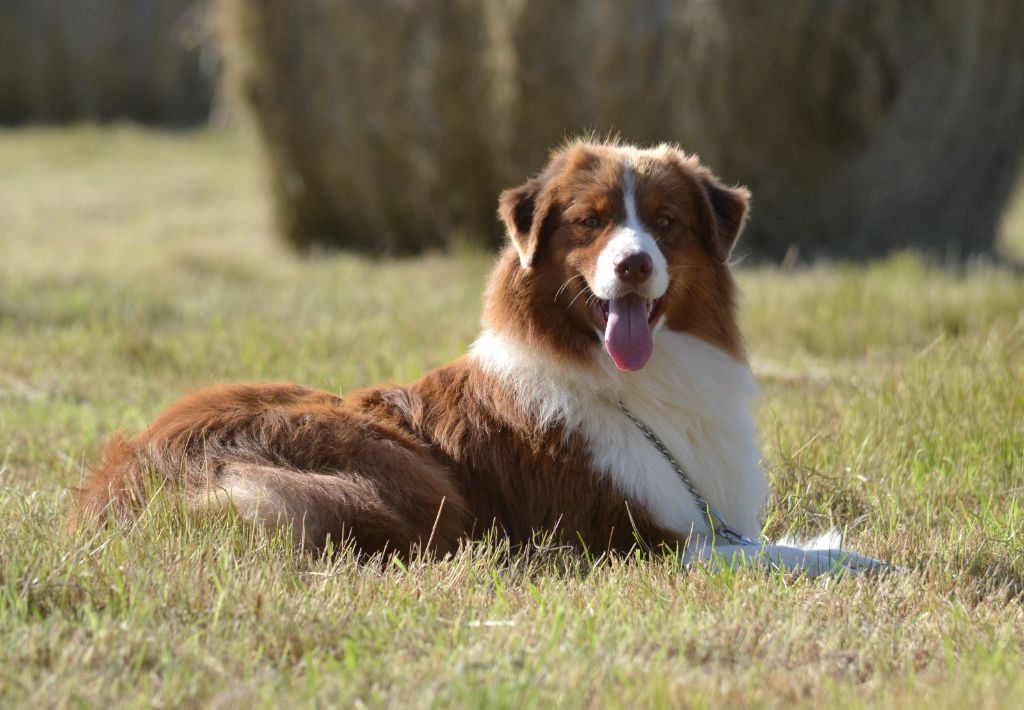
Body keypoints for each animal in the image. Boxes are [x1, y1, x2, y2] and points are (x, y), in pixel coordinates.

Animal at [74, 140, 888, 577]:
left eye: (664, 223)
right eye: (590, 223)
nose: (632, 266)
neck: (628, 384)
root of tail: (126, 476)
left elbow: (763, 542)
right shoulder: (617, 541)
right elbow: (765, 553)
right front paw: (858, 559)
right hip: (402, 474)